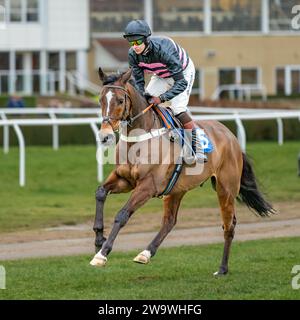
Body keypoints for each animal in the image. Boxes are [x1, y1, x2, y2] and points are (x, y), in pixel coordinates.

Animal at [90, 67, 276, 276]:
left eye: (120, 100)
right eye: (100, 100)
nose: (105, 136)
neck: (140, 138)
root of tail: (231, 137)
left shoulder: (148, 186)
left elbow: (122, 214)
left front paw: (102, 254)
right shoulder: (124, 179)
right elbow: (100, 192)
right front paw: (99, 239)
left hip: (226, 188)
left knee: (229, 225)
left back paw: (222, 268)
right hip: (176, 189)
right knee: (170, 221)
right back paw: (145, 253)